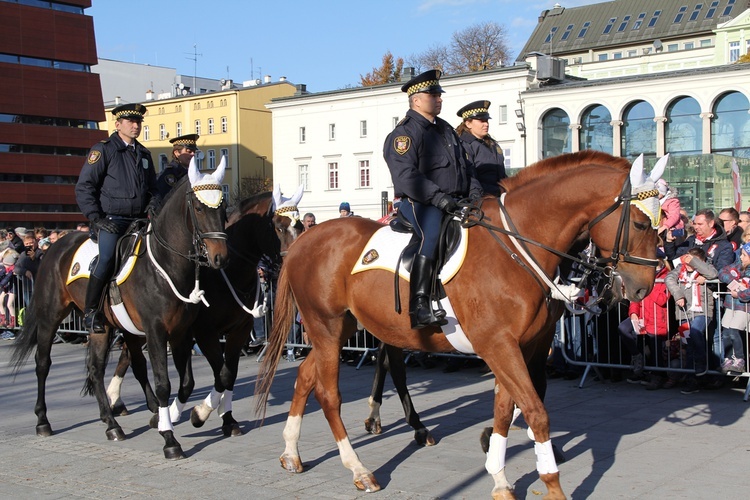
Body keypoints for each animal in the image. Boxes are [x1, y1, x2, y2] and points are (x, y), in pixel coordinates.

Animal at [11, 158, 229, 458]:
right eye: (198, 208)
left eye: (223, 207)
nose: (220, 257)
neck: (165, 265)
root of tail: (58, 246)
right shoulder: (156, 331)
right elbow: (164, 384)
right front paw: (169, 439)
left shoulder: (180, 333)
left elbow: (187, 383)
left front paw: (184, 415)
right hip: (49, 317)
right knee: (43, 364)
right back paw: (43, 421)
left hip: (103, 327)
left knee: (97, 368)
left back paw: (112, 423)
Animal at [106, 186, 306, 436]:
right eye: (278, 227)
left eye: (301, 226)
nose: (297, 266)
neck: (230, 272)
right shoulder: (204, 333)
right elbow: (219, 374)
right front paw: (198, 413)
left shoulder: (238, 331)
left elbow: (228, 375)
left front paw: (226, 418)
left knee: (129, 356)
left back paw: (118, 399)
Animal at [256, 152, 668, 500]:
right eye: (640, 222)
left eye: (660, 222)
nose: (643, 286)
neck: (517, 249)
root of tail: (305, 241)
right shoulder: (499, 345)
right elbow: (535, 410)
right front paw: (551, 485)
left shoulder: (525, 346)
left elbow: (507, 407)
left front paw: (499, 476)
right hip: (326, 327)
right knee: (329, 394)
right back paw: (359, 468)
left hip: (340, 329)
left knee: (307, 376)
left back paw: (291, 452)